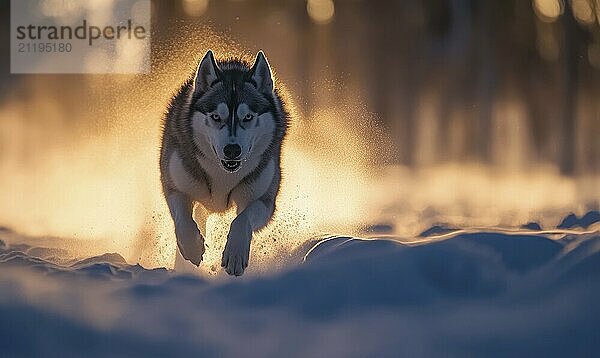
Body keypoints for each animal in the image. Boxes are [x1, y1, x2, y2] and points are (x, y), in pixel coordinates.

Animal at [159, 49, 288, 276]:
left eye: (248, 117)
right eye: (216, 116)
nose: (232, 150)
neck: (223, 174)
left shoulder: (263, 200)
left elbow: (242, 219)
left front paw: (235, 254)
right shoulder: (175, 187)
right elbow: (183, 220)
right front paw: (192, 247)